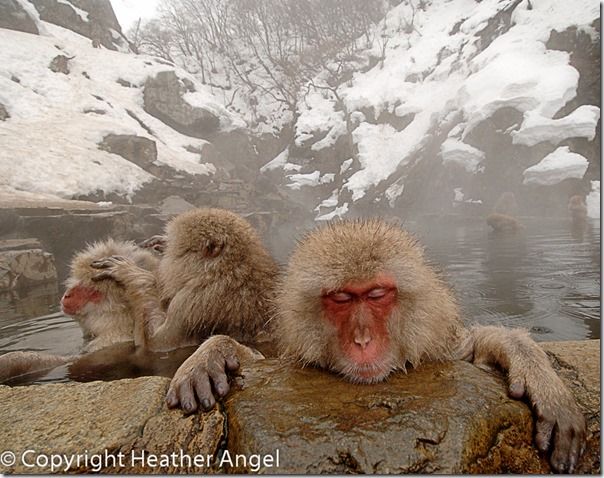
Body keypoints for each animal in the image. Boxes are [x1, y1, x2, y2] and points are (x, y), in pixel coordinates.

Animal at [0, 241, 159, 382]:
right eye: (78, 280)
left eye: (91, 291)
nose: (68, 295)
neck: (115, 325)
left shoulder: (109, 341)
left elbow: (75, 362)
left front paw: (12, 362)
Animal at [165, 219, 584, 474]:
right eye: (341, 298)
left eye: (377, 294)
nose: (363, 339)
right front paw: (213, 354)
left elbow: (471, 349)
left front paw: (537, 375)